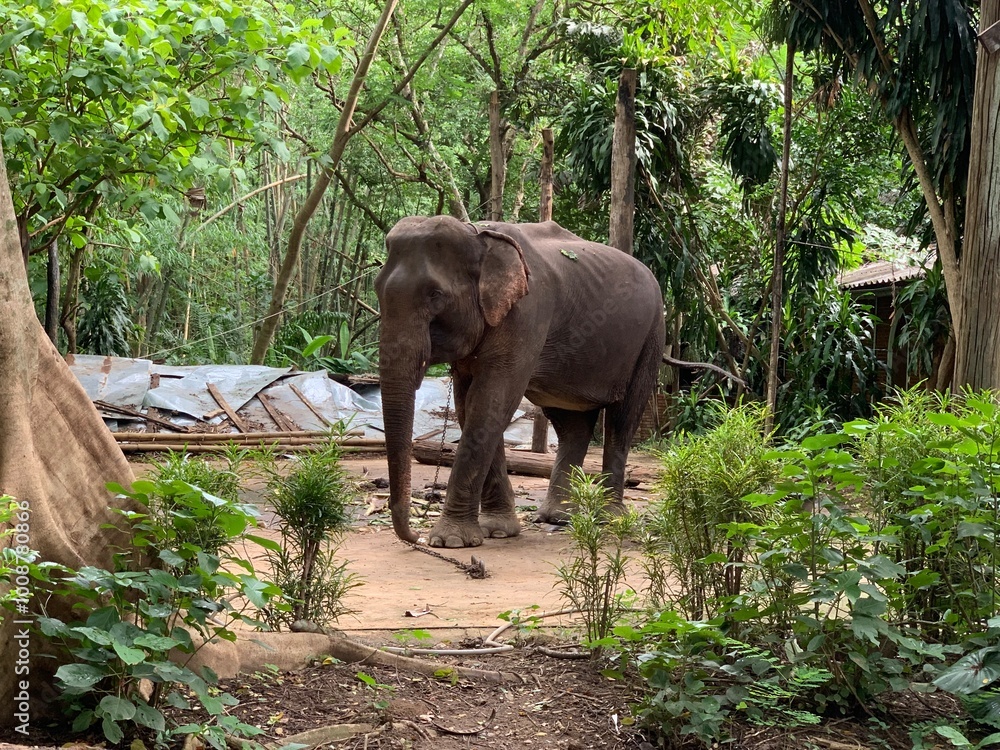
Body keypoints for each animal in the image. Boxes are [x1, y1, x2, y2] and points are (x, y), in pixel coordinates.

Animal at [375, 215, 665, 548]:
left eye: (435, 295)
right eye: (377, 290)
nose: (416, 537)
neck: (476, 234)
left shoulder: (527, 314)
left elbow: (493, 399)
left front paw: (450, 541)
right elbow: (469, 404)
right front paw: (497, 530)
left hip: (651, 338)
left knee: (623, 419)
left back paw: (609, 518)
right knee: (572, 425)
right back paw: (558, 517)